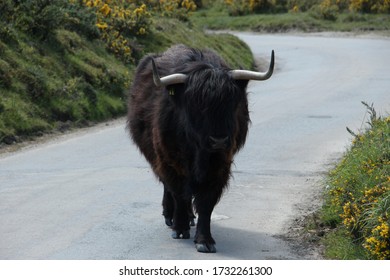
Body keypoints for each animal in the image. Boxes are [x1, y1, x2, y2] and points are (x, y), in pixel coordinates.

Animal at [128, 44, 274, 253]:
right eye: (197, 105)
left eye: (231, 102)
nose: (218, 140)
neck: (198, 151)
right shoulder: (169, 161)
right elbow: (179, 194)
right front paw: (179, 228)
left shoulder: (220, 165)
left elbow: (206, 202)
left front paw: (205, 240)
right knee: (169, 188)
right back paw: (170, 216)